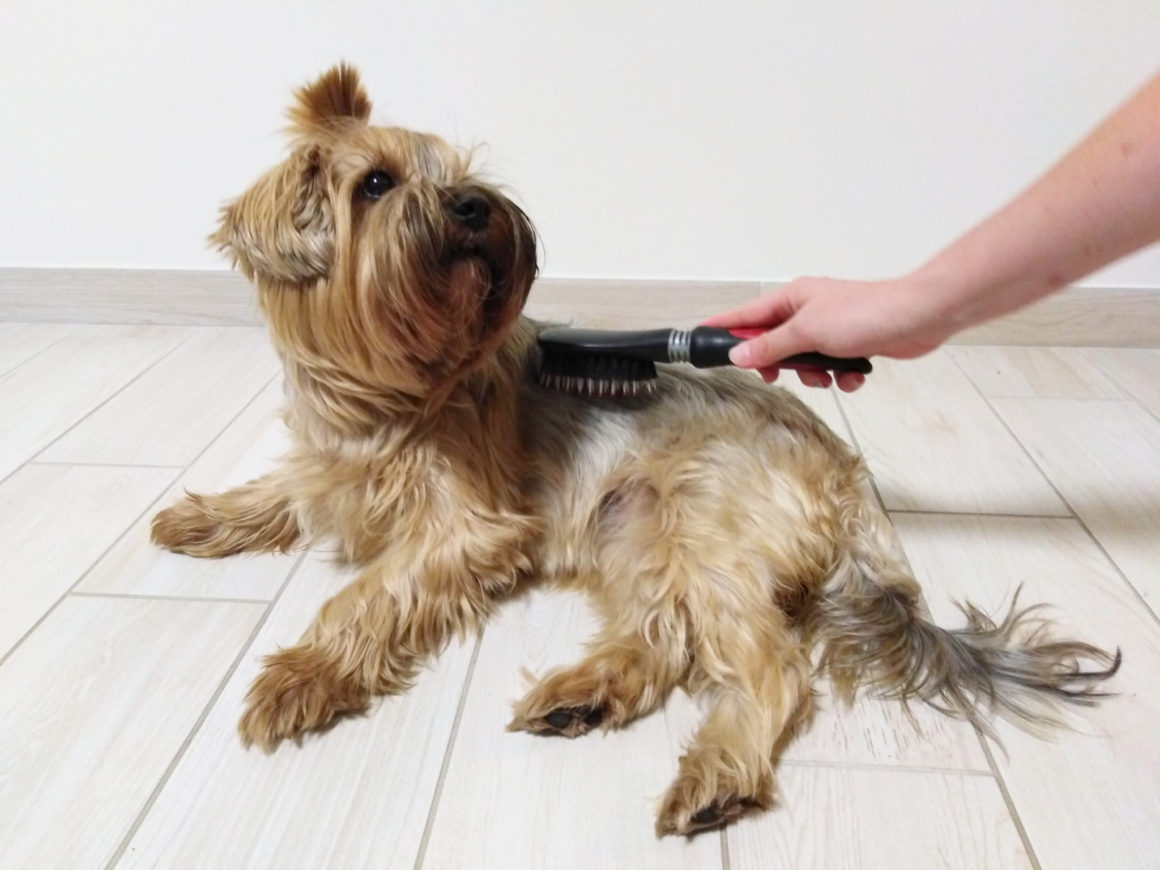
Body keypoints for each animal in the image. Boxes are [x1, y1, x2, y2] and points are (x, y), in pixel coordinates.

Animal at [149, 62, 1118, 839]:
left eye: (457, 174)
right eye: (377, 184)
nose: (474, 205)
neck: (392, 399)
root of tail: (847, 478)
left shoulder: (468, 529)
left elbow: (365, 595)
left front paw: (300, 674)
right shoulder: (326, 463)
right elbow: (279, 489)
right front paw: (199, 519)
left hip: (702, 518)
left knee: (767, 665)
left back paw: (716, 774)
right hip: (633, 525)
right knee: (663, 637)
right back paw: (585, 694)